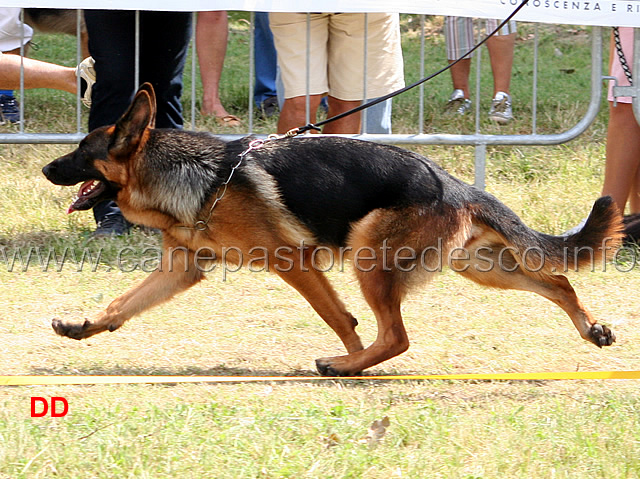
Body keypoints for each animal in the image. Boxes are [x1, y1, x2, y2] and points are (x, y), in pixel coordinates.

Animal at [42, 86, 624, 378]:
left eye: (81, 151)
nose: (46, 168)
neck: (198, 177)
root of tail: (455, 184)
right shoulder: (182, 270)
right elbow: (123, 303)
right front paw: (84, 326)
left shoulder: (293, 264)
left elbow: (339, 318)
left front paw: (349, 355)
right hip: (479, 267)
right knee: (558, 281)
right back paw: (591, 327)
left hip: (371, 256)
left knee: (396, 336)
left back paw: (345, 365)